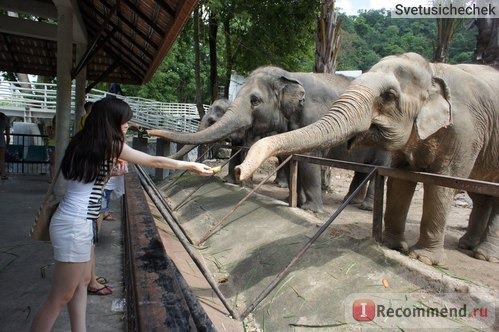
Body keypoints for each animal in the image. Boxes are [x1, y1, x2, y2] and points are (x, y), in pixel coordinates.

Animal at [150, 67, 388, 213]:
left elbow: (307, 159)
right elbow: (292, 158)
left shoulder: (314, 117)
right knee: (363, 170)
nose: (151, 132)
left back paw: (365, 207)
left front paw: (311, 210)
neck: (290, 75)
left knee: (379, 169)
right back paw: (351, 202)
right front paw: (292, 202)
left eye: (255, 100)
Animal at [236, 52, 499, 264]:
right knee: (481, 196)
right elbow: (401, 179)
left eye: (389, 96)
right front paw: (392, 245)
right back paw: (467, 244)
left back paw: (482, 255)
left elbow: (442, 183)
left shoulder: (465, 133)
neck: (433, 69)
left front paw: (422, 258)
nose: (238, 171)